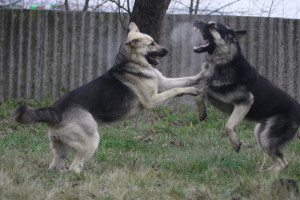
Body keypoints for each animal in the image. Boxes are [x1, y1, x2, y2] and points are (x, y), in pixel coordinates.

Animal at [14, 22, 202, 173]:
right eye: (151, 43)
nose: (167, 50)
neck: (130, 63)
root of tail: (54, 111)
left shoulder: (163, 82)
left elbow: (185, 79)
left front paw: (200, 77)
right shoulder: (153, 101)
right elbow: (176, 89)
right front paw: (193, 89)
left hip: (62, 149)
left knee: (54, 167)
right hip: (91, 141)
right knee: (75, 168)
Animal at [192, 19, 300, 172]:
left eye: (212, 26)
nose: (196, 20)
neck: (225, 62)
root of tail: (298, 109)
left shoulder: (244, 102)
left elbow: (229, 125)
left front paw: (235, 143)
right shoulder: (211, 92)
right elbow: (200, 93)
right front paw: (202, 112)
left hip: (267, 138)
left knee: (283, 163)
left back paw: (266, 175)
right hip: (260, 134)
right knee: (279, 162)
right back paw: (263, 173)